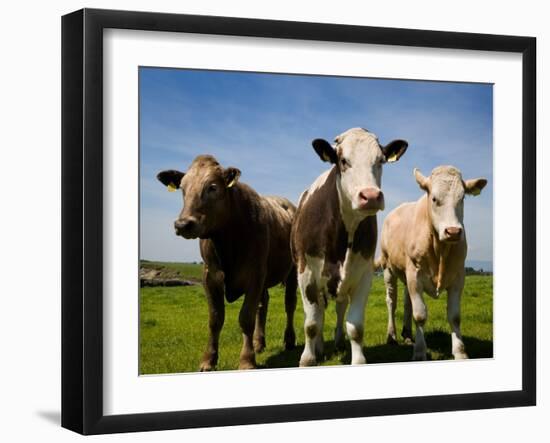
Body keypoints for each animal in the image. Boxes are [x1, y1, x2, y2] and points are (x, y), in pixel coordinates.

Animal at [294, 126, 410, 366]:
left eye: (381, 160)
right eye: (343, 160)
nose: (371, 196)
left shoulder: (363, 274)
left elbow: (355, 326)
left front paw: (357, 359)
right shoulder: (306, 273)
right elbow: (311, 324)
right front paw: (308, 358)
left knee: (339, 309)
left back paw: (337, 342)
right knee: (319, 313)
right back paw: (319, 347)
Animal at [380, 166, 492, 360]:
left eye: (462, 198)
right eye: (434, 198)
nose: (453, 231)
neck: (440, 250)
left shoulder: (458, 276)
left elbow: (454, 316)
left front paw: (460, 351)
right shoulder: (415, 275)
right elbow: (420, 315)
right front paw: (419, 352)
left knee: (406, 302)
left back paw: (407, 334)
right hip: (388, 269)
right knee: (391, 301)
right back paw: (392, 336)